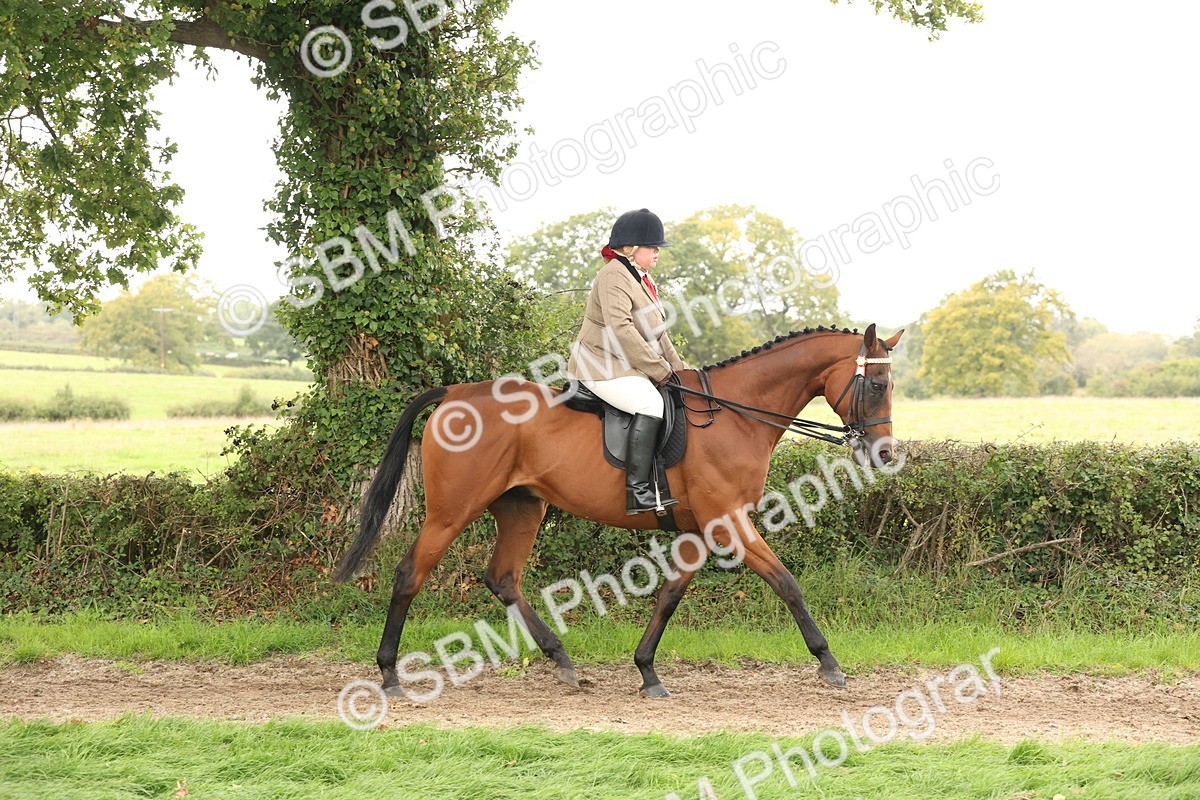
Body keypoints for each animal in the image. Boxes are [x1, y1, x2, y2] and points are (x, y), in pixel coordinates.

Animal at [335, 322, 904, 698]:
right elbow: (787, 583)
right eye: (877, 385)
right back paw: (389, 674)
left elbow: (670, 594)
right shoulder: (729, 522)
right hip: (451, 512)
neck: (737, 416)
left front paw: (647, 671)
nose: (884, 454)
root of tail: (455, 392)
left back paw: (562, 661)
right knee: (410, 574)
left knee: (503, 578)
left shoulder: (703, 529)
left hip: (521, 509)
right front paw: (829, 663)